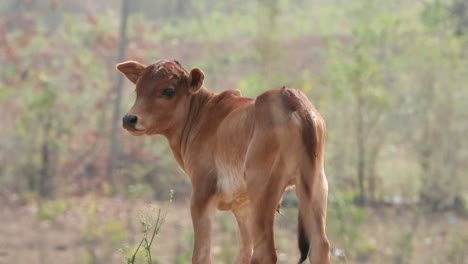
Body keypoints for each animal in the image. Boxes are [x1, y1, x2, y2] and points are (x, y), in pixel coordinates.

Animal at [117, 59, 330, 264]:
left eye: (168, 90)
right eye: (138, 88)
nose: (129, 119)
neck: (202, 115)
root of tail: (295, 103)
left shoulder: (202, 195)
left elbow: (201, 256)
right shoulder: (242, 207)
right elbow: (243, 253)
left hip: (263, 191)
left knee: (265, 253)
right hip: (315, 187)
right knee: (320, 246)